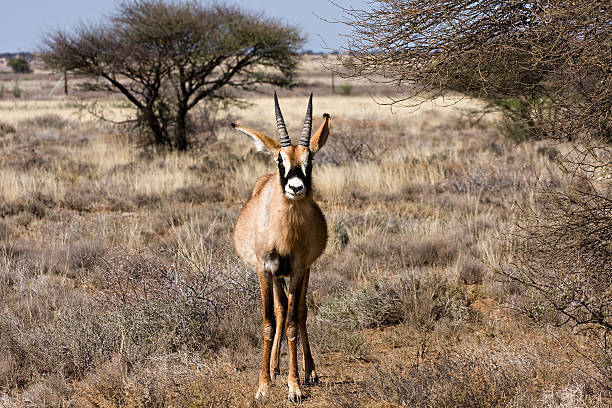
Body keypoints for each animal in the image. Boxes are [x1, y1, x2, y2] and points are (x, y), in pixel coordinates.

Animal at [232, 92, 330, 402]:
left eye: (310, 159)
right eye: (280, 159)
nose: (296, 187)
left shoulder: (298, 269)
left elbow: (291, 324)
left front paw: (295, 386)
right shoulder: (265, 269)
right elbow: (268, 322)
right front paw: (263, 386)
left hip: (303, 271)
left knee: (298, 311)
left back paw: (310, 372)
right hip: (276, 276)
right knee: (280, 308)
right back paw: (274, 368)